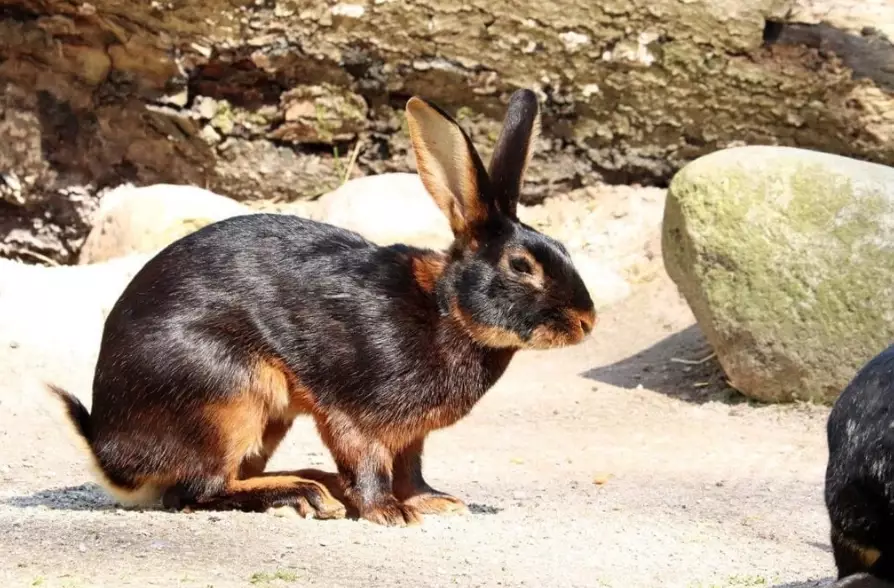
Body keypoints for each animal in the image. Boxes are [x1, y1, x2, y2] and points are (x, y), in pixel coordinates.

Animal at [46, 88, 597, 527]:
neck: (447, 311)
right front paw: (390, 514)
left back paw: (318, 486)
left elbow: (411, 470)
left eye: (562, 249)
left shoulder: (410, 436)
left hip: (267, 417)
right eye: (522, 266)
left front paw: (435, 502)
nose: (586, 321)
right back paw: (306, 494)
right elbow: (370, 464)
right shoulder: (354, 414)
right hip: (229, 396)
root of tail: (111, 455)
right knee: (199, 491)